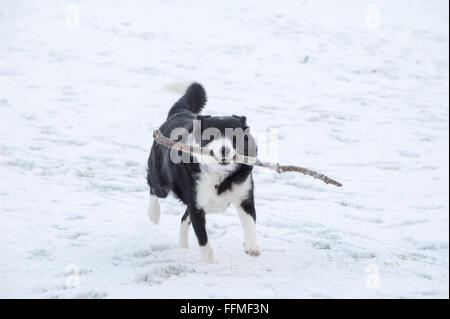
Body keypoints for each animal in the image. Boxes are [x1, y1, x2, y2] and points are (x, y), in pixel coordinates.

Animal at [148, 84, 260, 264]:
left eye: (234, 136)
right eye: (211, 136)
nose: (224, 150)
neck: (219, 174)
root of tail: (179, 112)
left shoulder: (244, 197)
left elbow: (250, 223)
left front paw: (251, 247)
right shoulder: (197, 206)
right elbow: (203, 240)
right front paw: (210, 264)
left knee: (184, 218)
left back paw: (184, 247)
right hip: (161, 180)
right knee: (153, 186)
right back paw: (154, 214)